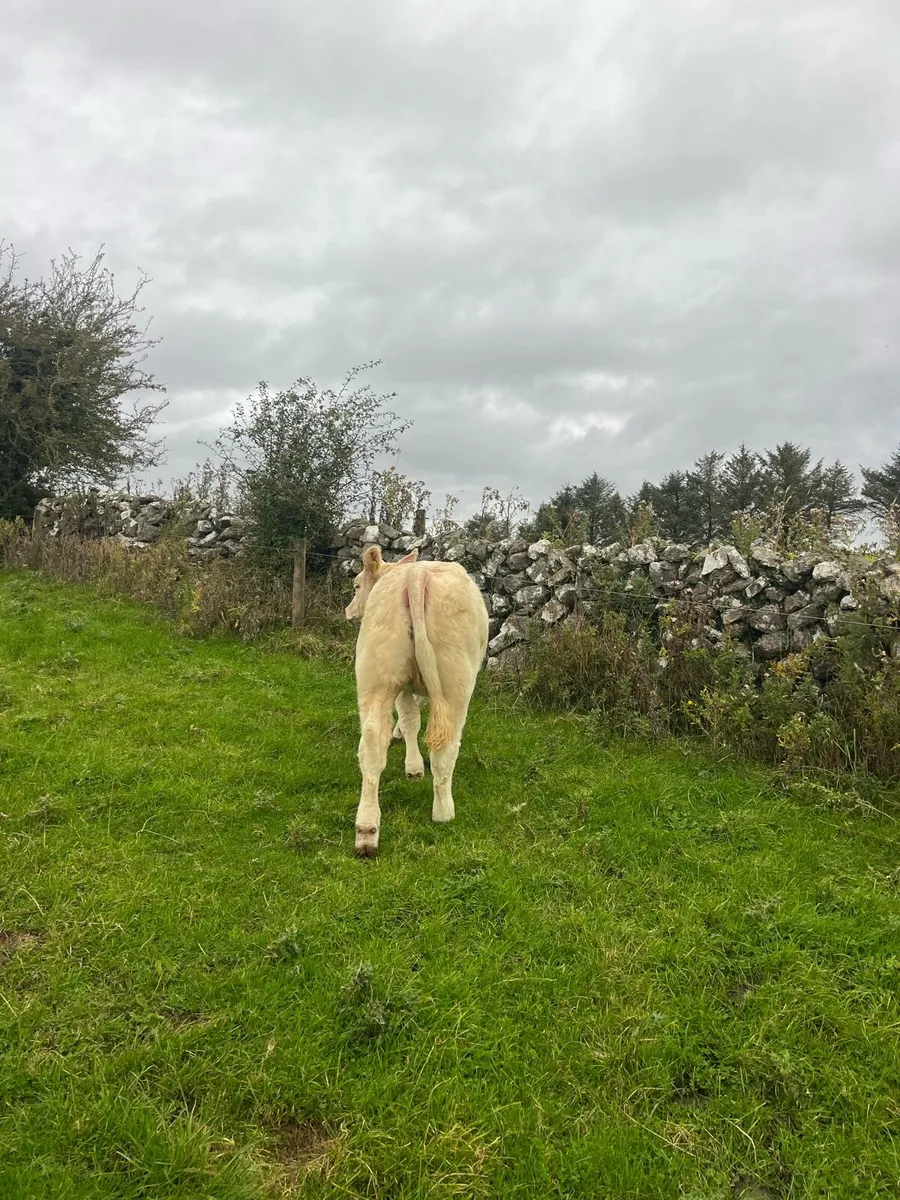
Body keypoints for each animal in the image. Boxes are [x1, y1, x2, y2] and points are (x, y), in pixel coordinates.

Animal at [344, 544, 489, 857]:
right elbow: (412, 719)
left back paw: (366, 831)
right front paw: (414, 767)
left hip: (377, 677)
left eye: (356, 585)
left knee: (371, 742)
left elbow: (409, 717)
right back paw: (444, 812)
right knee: (445, 745)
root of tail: (416, 573)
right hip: (455, 686)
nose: (348, 611)